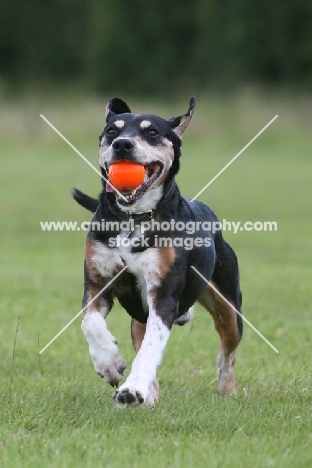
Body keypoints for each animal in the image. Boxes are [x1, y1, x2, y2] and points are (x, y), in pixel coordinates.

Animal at [72, 97, 243, 408]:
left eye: (151, 132)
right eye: (112, 131)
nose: (123, 145)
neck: (133, 218)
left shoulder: (163, 294)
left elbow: (151, 348)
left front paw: (132, 389)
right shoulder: (97, 283)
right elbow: (90, 322)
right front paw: (109, 364)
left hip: (228, 303)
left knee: (227, 351)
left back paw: (226, 390)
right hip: (138, 318)